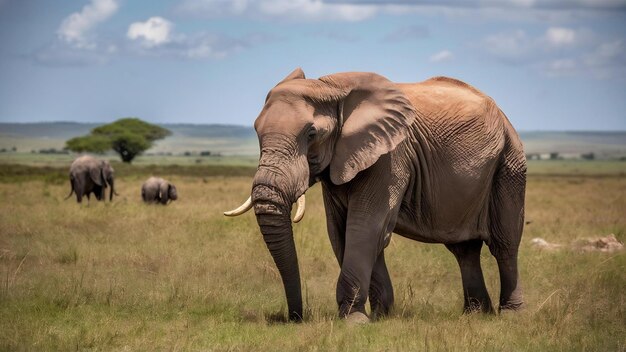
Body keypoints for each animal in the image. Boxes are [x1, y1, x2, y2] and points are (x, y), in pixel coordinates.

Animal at [222, 67, 524, 324]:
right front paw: (381, 316)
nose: (295, 317)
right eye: (256, 131)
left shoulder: (390, 156)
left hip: (509, 162)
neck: (331, 87)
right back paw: (476, 314)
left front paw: (354, 321)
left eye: (311, 134)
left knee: (504, 243)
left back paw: (510, 315)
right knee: (464, 249)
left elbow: (366, 227)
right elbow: (342, 232)